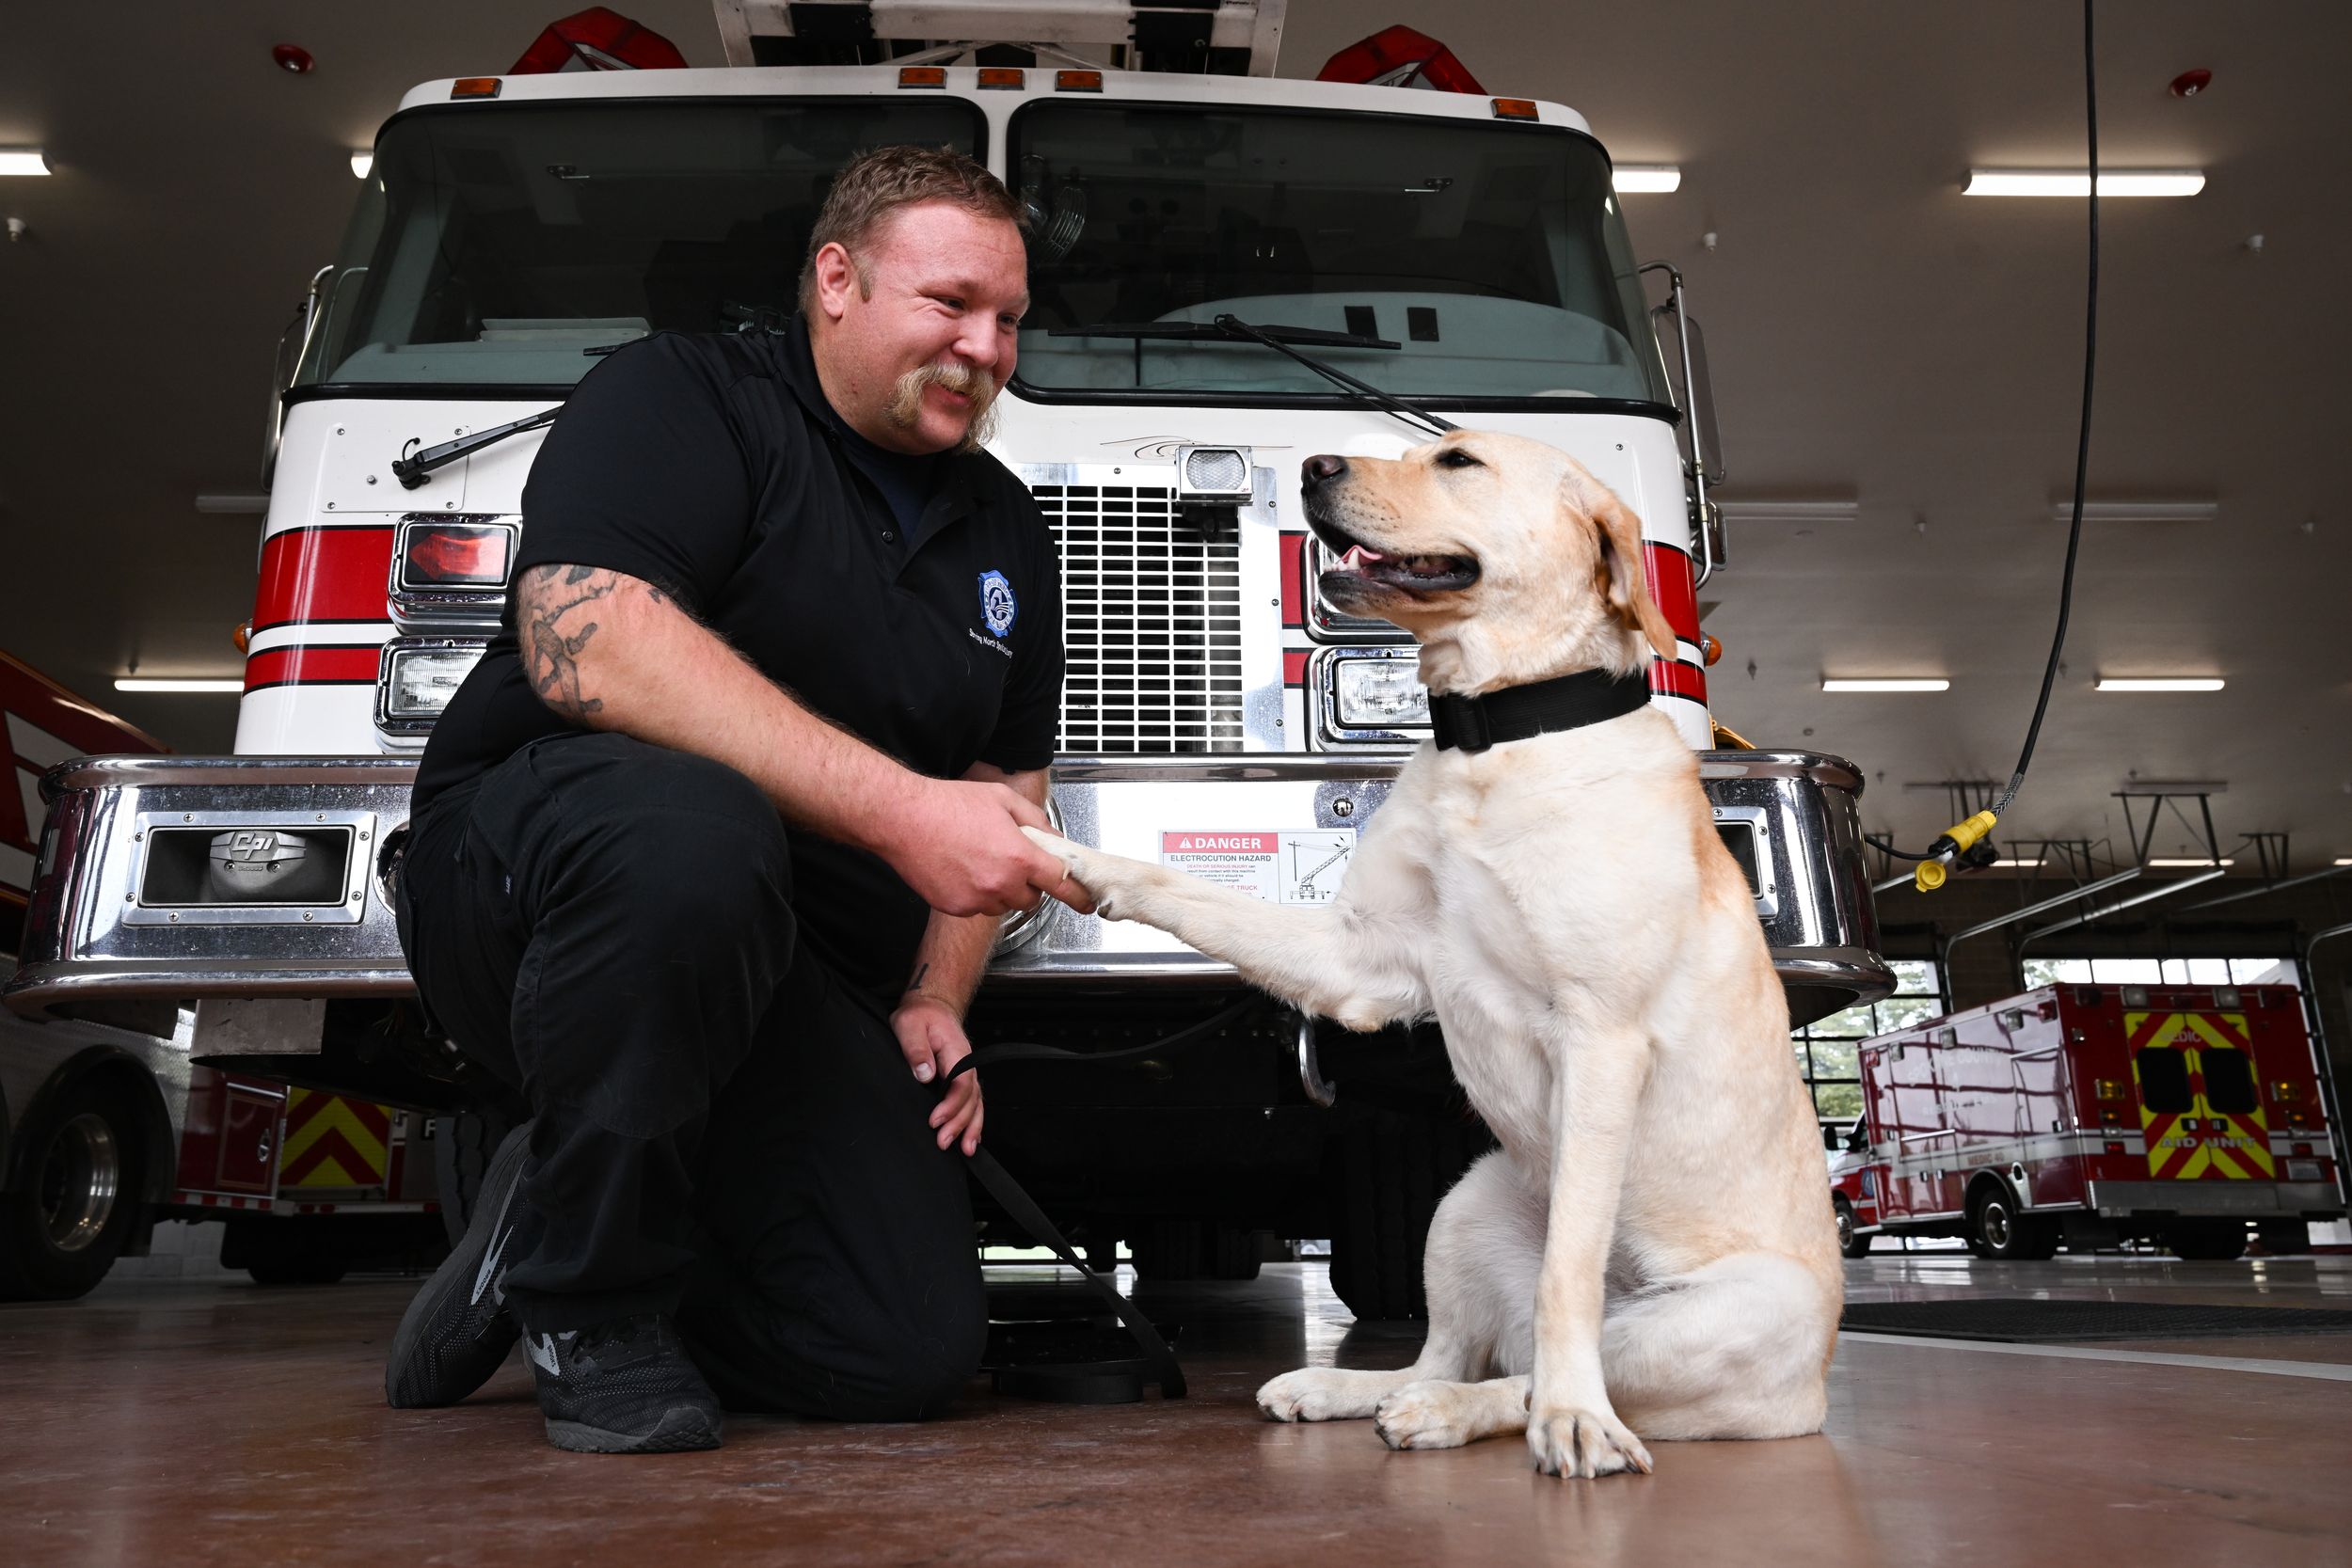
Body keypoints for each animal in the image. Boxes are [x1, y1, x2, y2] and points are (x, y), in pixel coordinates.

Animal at [1030, 432, 1835, 1485]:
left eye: (1458, 460)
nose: (1312, 468)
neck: (1495, 738)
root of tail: (1811, 1395)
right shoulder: (1361, 959)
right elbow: (1188, 892)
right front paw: (1058, 852)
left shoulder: (1601, 1038)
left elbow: (1567, 1275)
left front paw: (1572, 1419)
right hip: (1466, 1202)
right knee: (1442, 1352)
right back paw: (1351, 1390)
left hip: (1732, 1311)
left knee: (1539, 1364)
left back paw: (1492, 1412)